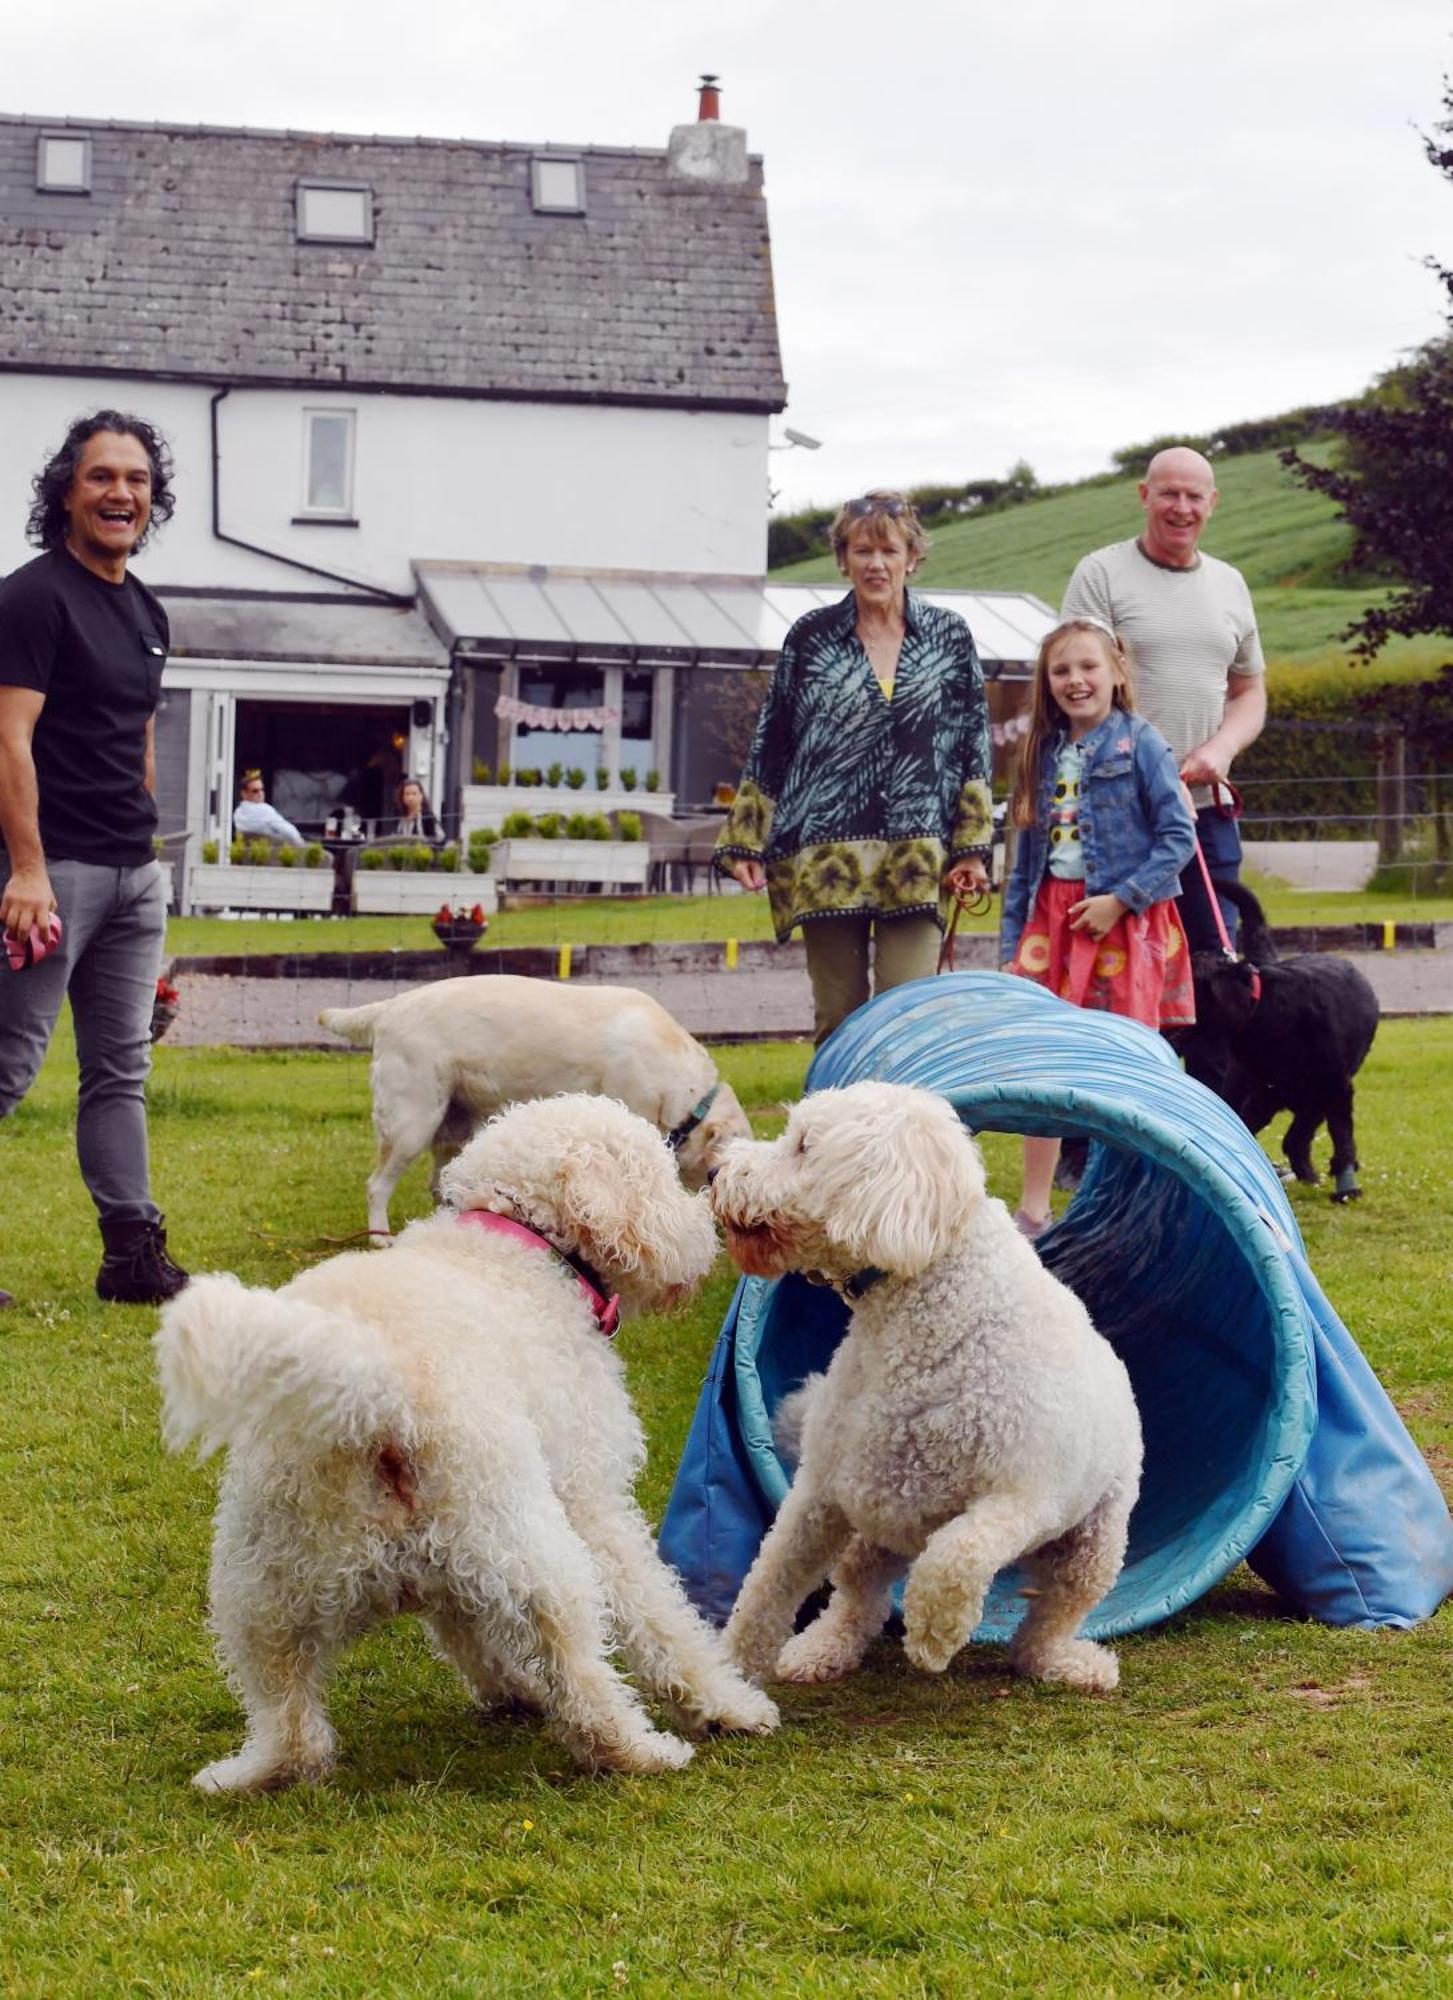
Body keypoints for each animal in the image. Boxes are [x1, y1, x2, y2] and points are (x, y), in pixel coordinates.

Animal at [154, 1096, 780, 1800]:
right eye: (662, 1175)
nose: (708, 1209)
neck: (517, 1240)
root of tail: (374, 1386)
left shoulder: (448, 1570)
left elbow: (467, 1628)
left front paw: (511, 1689)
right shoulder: (594, 1503)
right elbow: (661, 1616)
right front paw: (727, 1705)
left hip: (256, 1587)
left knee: (290, 1720)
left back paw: (248, 1771)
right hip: (534, 1549)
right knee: (585, 1676)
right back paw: (641, 1749)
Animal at [712, 1088, 1144, 1696]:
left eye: (802, 1145)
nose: (715, 1172)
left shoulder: (1024, 1499)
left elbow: (955, 1554)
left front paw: (934, 1634)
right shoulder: (820, 1491)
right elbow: (766, 1583)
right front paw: (725, 1678)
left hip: (1093, 1546)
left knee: (1044, 1624)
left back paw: (1069, 1663)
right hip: (868, 1531)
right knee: (859, 1601)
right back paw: (824, 1648)